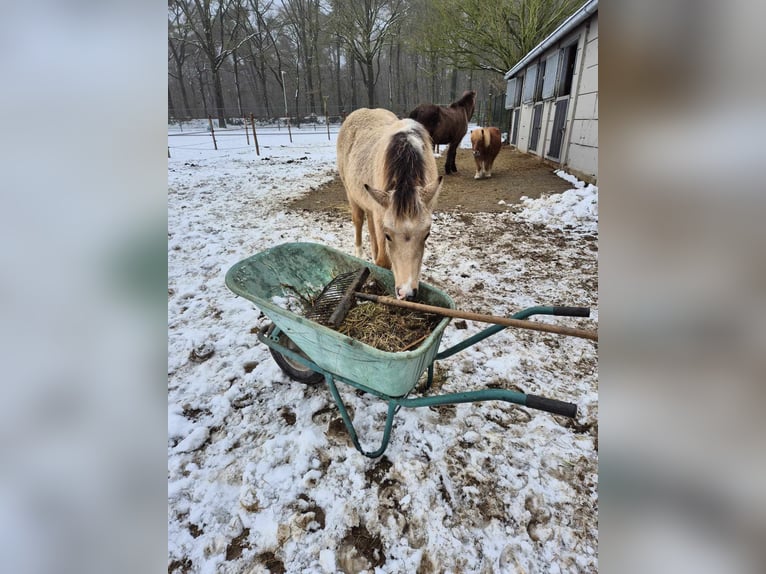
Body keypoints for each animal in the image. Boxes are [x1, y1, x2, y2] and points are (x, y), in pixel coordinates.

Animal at [338, 109, 444, 304]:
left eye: (427, 235)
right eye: (388, 236)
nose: (406, 293)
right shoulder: (382, 219)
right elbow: (383, 262)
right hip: (352, 195)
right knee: (359, 222)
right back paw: (360, 254)